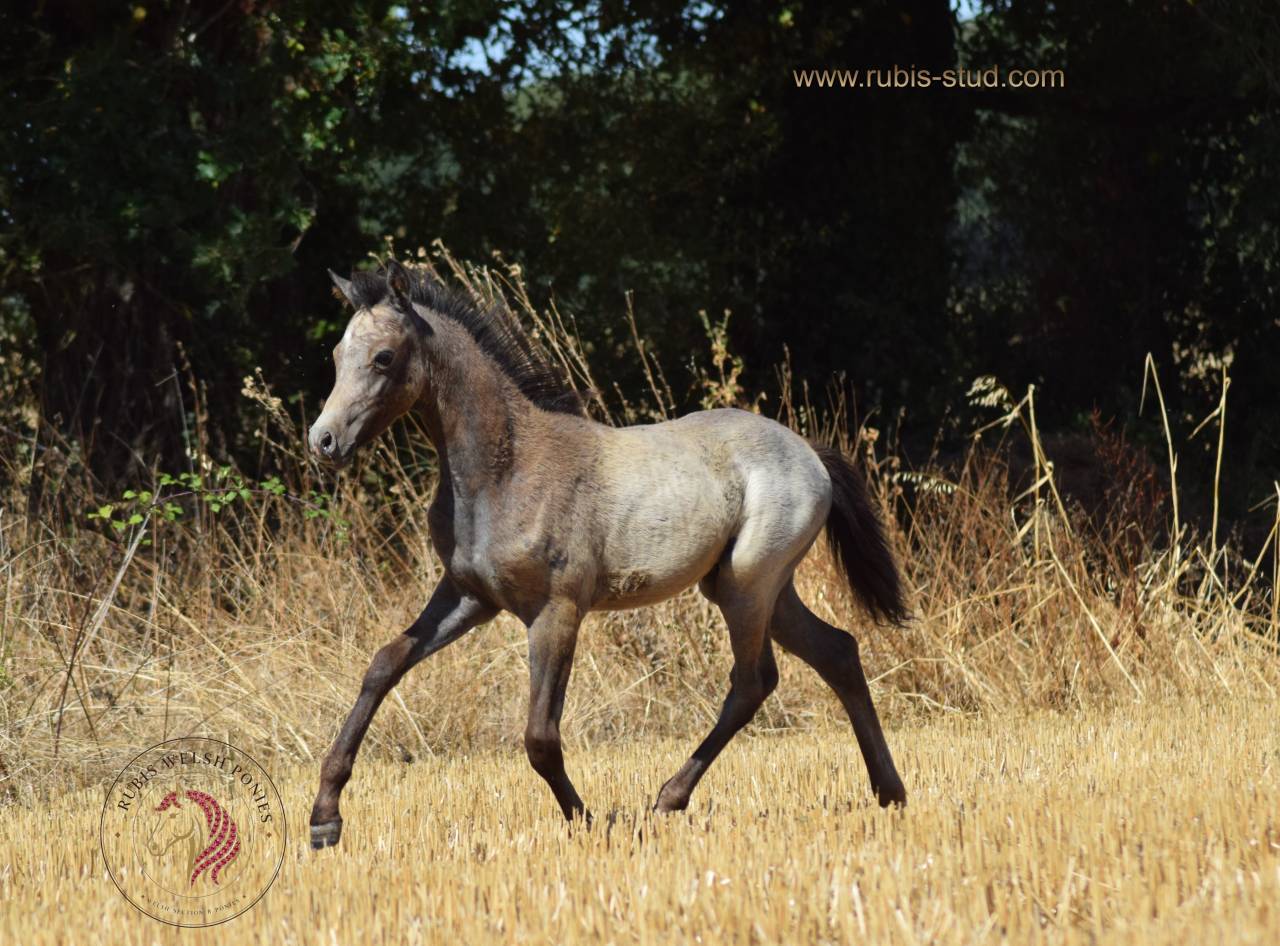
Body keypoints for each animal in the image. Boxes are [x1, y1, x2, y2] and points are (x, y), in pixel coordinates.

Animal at [306, 260, 909, 850]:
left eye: (384, 357)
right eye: (335, 355)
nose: (323, 442)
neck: (506, 469)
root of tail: (811, 454)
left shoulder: (556, 611)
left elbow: (540, 737)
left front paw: (588, 822)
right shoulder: (469, 597)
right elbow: (383, 665)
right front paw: (324, 819)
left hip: (747, 586)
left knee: (753, 681)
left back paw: (668, 798)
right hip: (761, 589)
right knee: (836, 652)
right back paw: (890, 791)